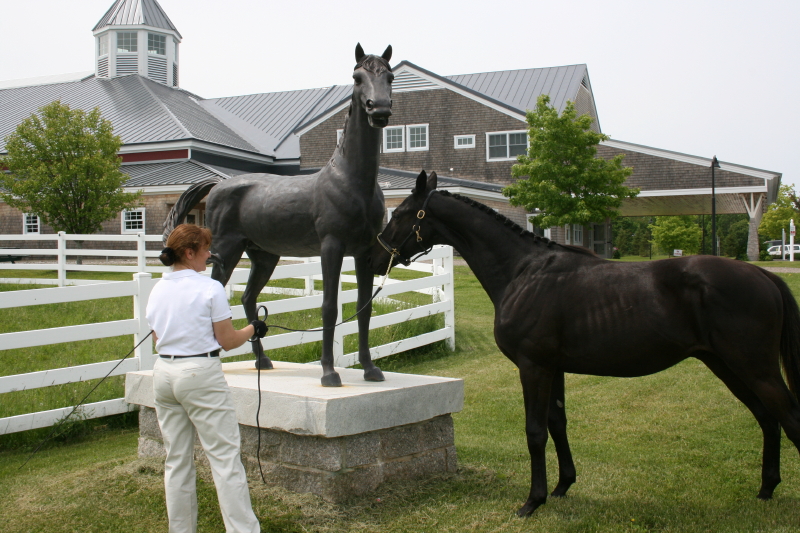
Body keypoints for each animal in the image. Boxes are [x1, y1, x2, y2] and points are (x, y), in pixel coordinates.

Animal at [164, 44, 396, 386]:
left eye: (389, 76)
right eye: (357, 77)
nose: (378, 110)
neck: (352, 181)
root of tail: (218, 185)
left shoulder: (363, 252)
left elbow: (363, 308)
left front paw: (370, 369)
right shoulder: (331, 247)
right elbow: (329, 307)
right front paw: (329, 373)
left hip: (263, 257)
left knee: (247, 299)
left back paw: (263, 360)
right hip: (226, 251)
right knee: (220, 295)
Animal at [370, 170, 800, 516]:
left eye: (400, 213)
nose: (376, 254)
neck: (523, 272)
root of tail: (765, 277)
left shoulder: (533, 367)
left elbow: (534, 430)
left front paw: (532, 501)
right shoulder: (554, 367)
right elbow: (557, 423)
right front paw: (562, 486)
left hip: (754, 367)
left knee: (788, 417)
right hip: (726, 365)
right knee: (767, 419)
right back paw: (765, 489)